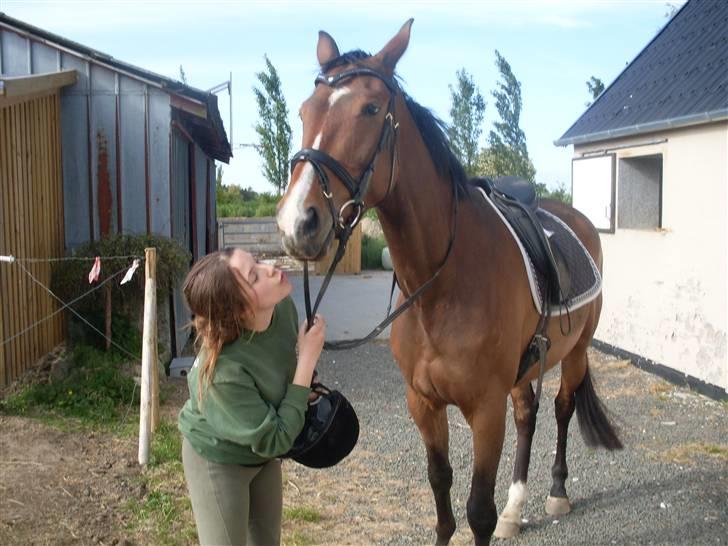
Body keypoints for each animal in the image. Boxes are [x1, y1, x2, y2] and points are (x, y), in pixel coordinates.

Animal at [276, 19, 624, 540]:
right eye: (304, 110)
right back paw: (516, 509)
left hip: (577, 351)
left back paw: (557, 493)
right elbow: (440, 485)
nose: (298, 221)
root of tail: (577, 219)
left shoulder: (485, 410)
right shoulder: (423, 403)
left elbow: (477, 509)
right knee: (528, 415)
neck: (440, 288)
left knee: (561, 409)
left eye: (371, 108)